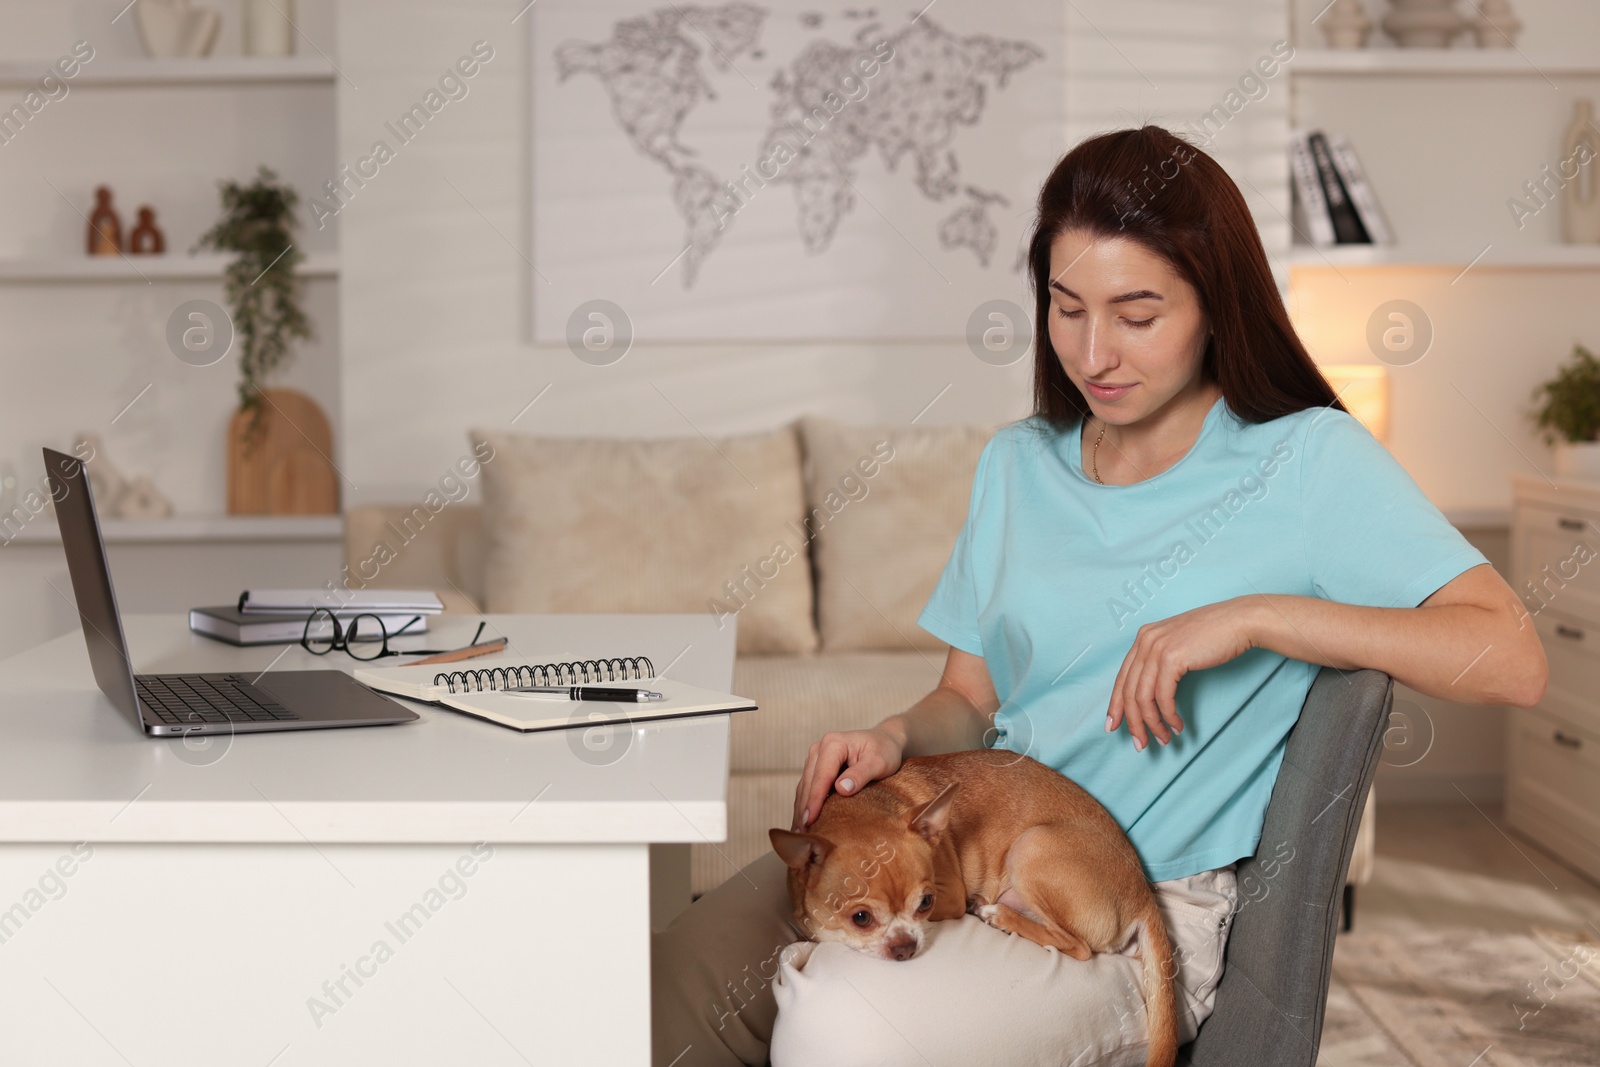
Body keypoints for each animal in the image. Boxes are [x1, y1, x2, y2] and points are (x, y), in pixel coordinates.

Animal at [768, 748, 1184, 1067]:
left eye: (926, 903)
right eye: (860, 918)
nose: (905, 947)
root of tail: (1144, 893)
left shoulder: (949, 893)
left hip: (1031, 847)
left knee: (1078, 946)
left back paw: (999, 916)